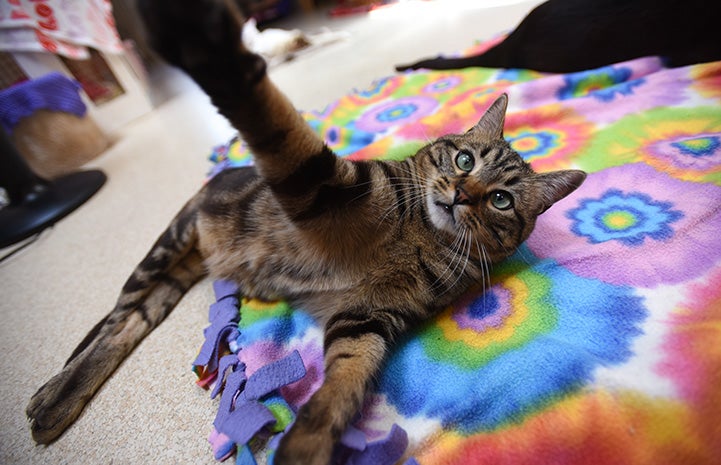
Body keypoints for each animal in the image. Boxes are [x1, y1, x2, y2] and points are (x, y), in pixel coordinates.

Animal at [28, 1, 584, 462]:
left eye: (500, 199)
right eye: (465, 159)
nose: (462, 195)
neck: (426, 235)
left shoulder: (367, 317)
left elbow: (344, 383)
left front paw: (308, 443)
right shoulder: (326, 185)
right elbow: (276, 120)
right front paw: (204, 38)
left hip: (172, 276)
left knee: (130, 323)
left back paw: (57, 401)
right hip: (168, 243)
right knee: (114, 320)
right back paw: (52, 394)